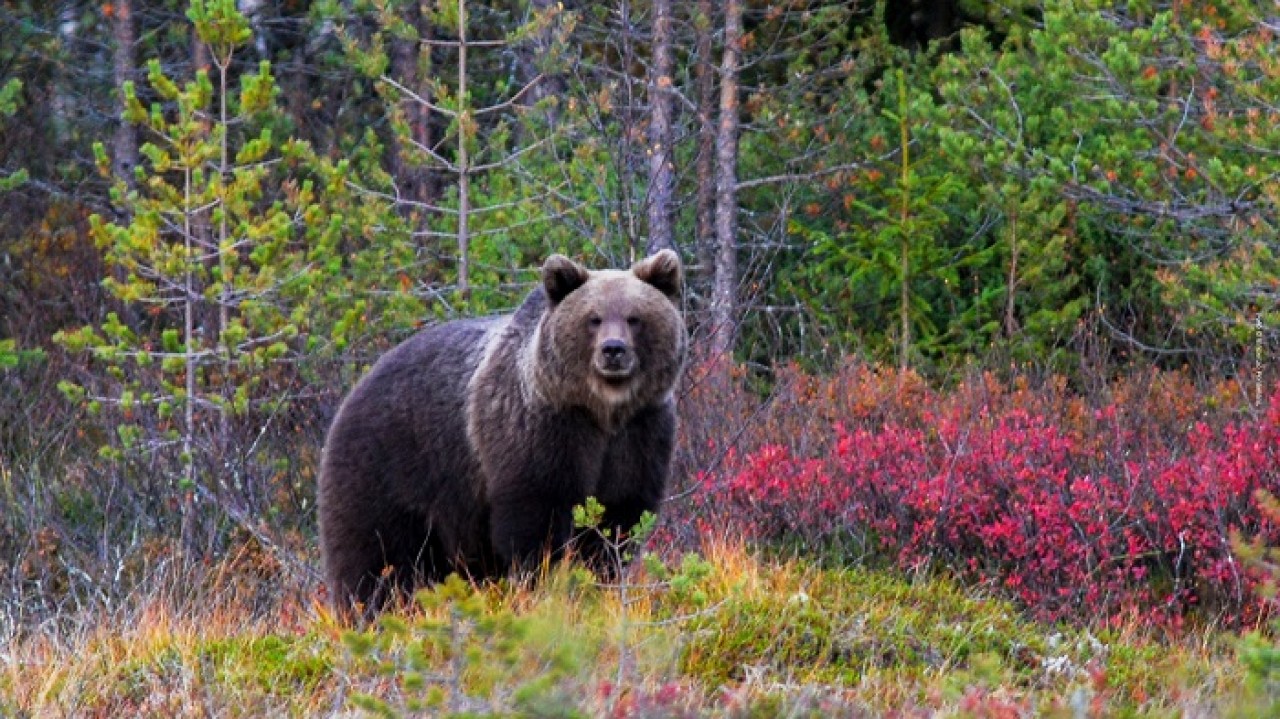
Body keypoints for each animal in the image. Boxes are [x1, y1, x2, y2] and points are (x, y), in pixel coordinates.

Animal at [318, 249, 687, 613]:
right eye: (593, 318)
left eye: (634, 317)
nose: (613, 350)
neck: (601, 410)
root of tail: (355, 389)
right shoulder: (539, 428)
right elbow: (536, 519)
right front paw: (542, 585)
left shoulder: (640, 432)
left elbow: (619, 518)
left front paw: (596, 583)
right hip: (386, 468)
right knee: (376, 558)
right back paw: (368, 611)